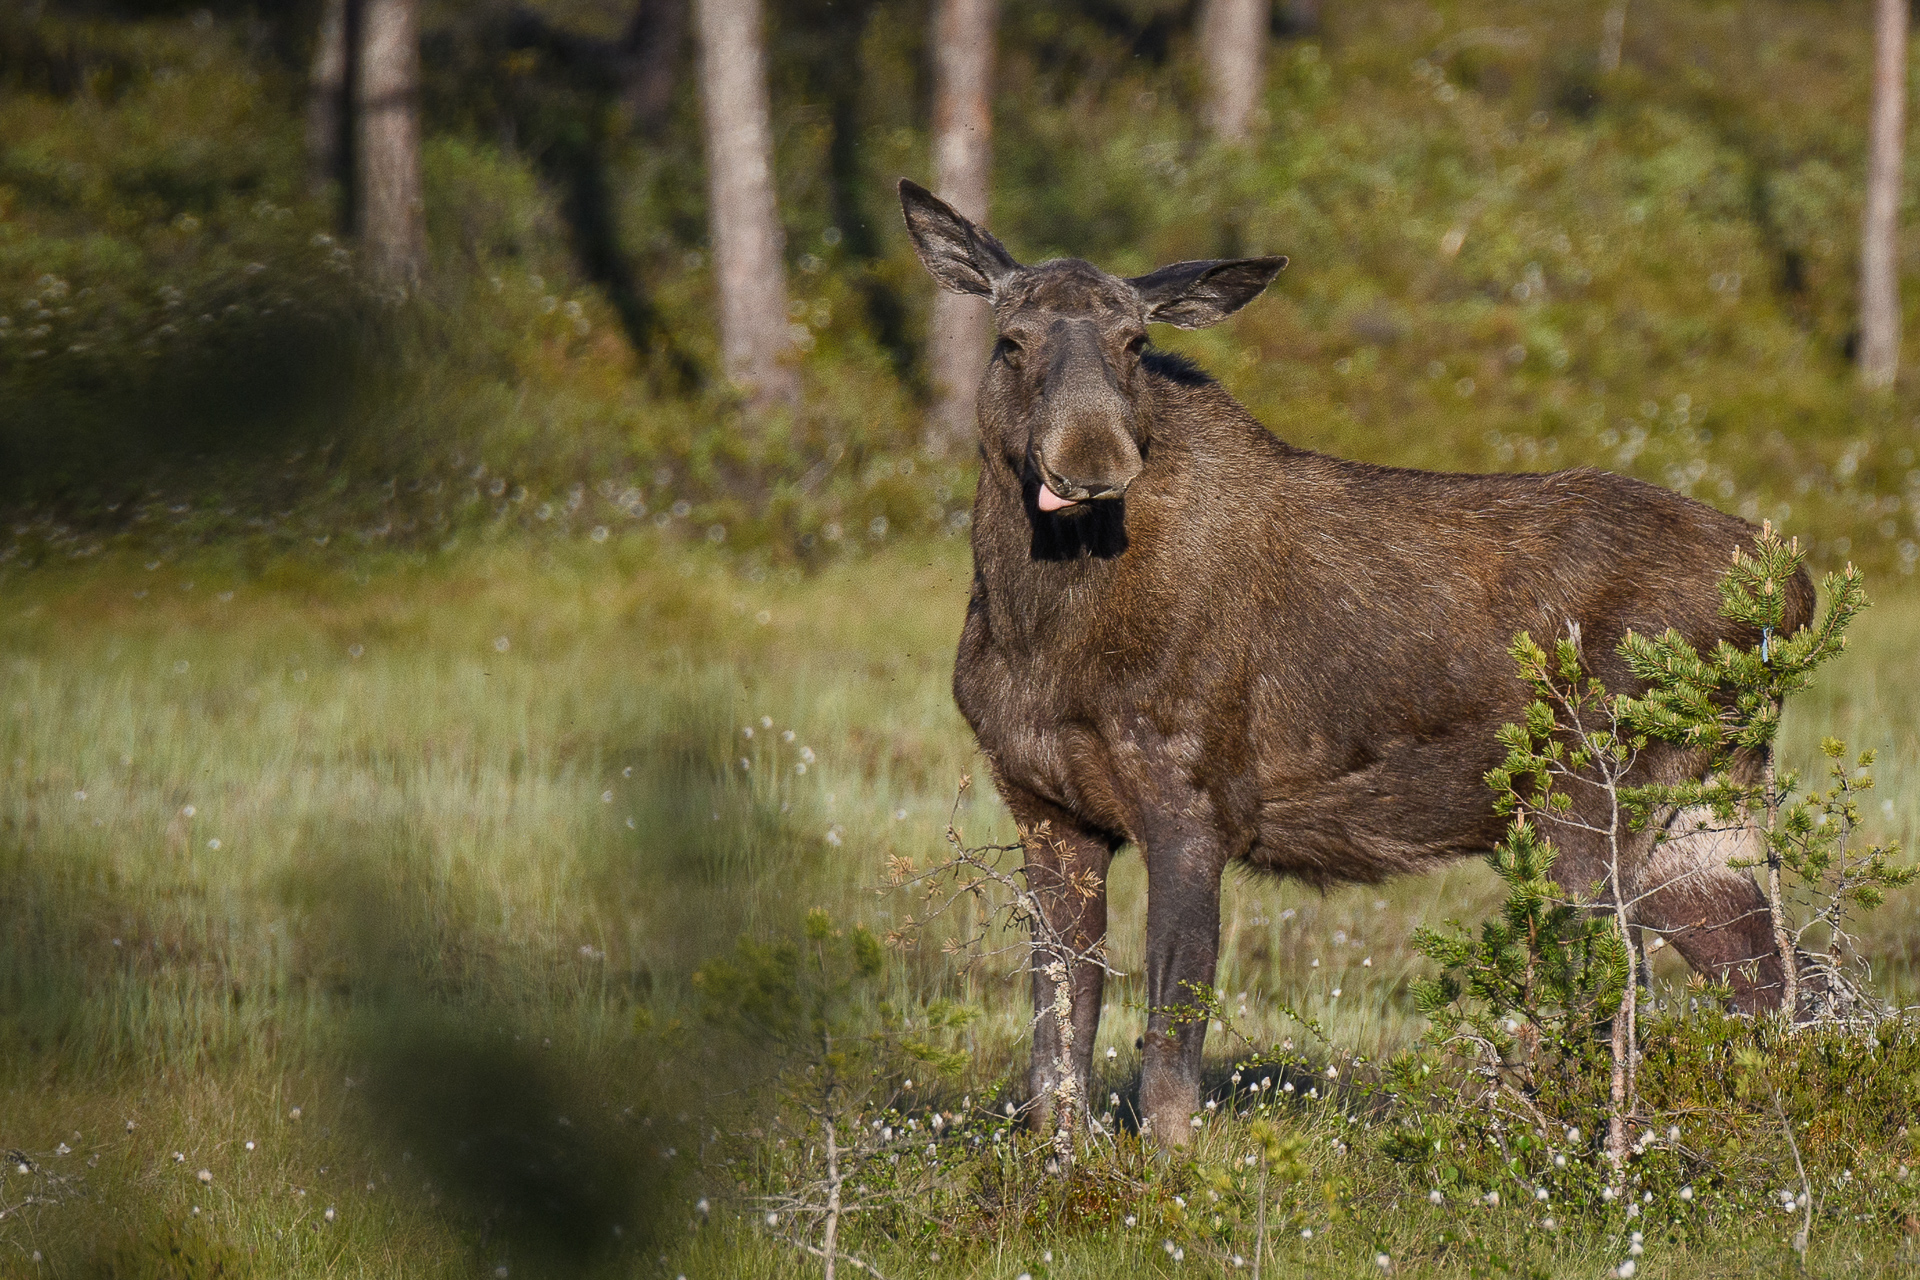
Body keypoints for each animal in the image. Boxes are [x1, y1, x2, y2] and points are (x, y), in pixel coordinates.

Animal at [890, 175, 1804, 1143]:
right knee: (1784, 988)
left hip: (1589, 800)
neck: (1040, 621)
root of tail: (1796, 587)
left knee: (1618, 997)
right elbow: (1054, 1051)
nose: (1093, 460)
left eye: (1135, 343)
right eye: (1011, 340)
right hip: (1697, 819)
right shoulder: (1046, 808)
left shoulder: (1194, 802)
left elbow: (1170, 1052)